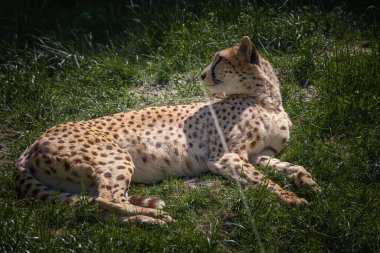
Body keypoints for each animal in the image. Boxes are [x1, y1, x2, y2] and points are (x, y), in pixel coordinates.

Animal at [14, 36, 318, 225]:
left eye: (219, 60)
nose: (202, 74)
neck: (266, 99)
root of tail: (35, 140)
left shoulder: (259, 154)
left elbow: (290, 166)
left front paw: (307, 182)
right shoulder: (227, 157)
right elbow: (266, 181)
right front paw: (292, 198)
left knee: (100, 206)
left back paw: (146, 219)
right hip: (114, 157)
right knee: (108, 199)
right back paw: (156, 215)